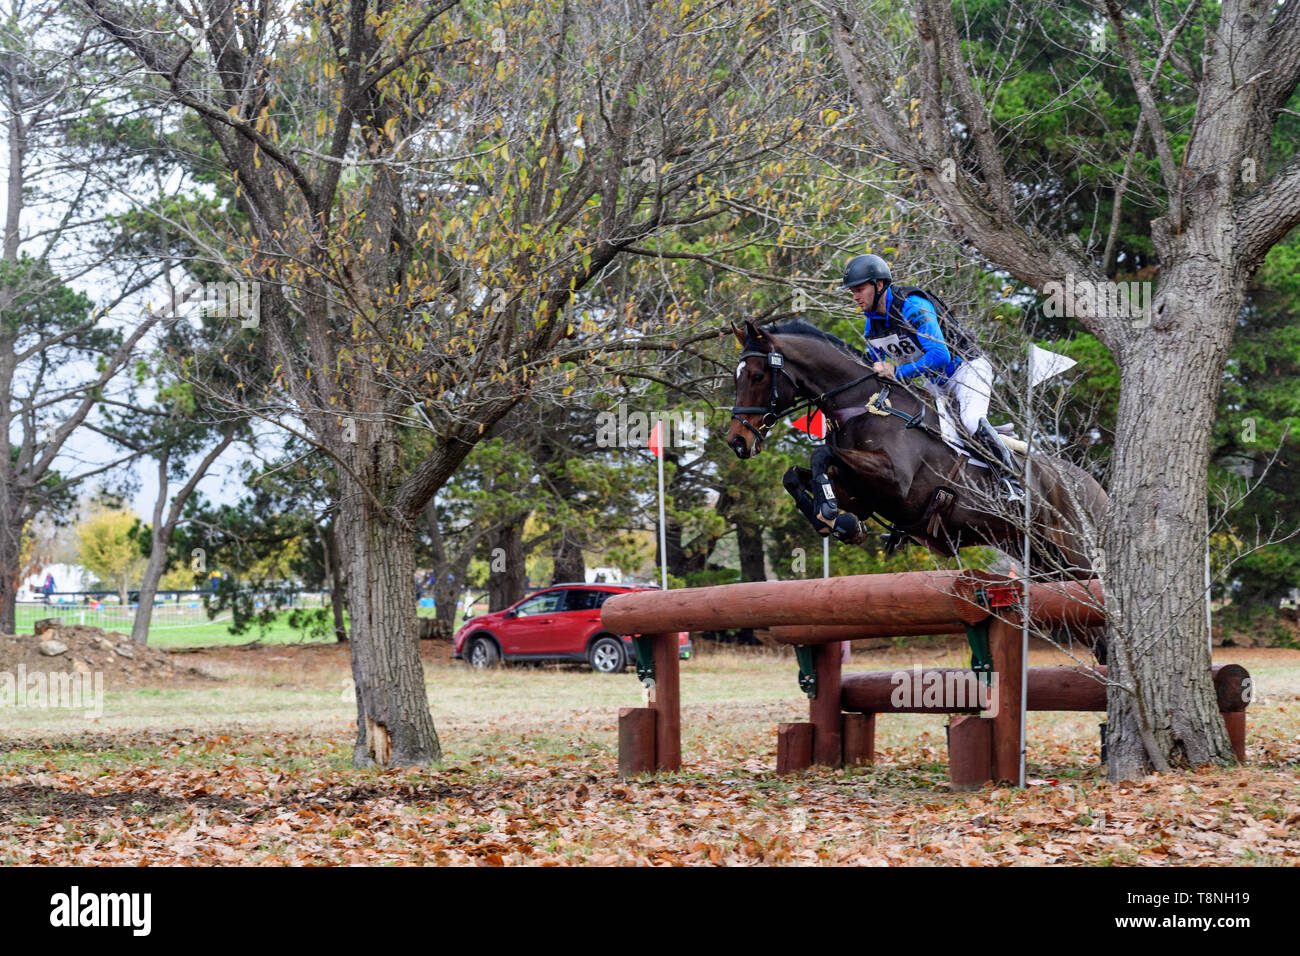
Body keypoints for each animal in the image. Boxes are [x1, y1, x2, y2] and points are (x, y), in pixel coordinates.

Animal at [728, 317, 1112, 660]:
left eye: (757, 375)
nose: (737, 441)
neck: (864, 405)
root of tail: (1096, 488)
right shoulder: (859, 492)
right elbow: (794, 475)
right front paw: (838, 523)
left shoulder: (894, 481)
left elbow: (820, 454)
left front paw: (833, 516)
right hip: (1043, 561)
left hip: (1076, 555)